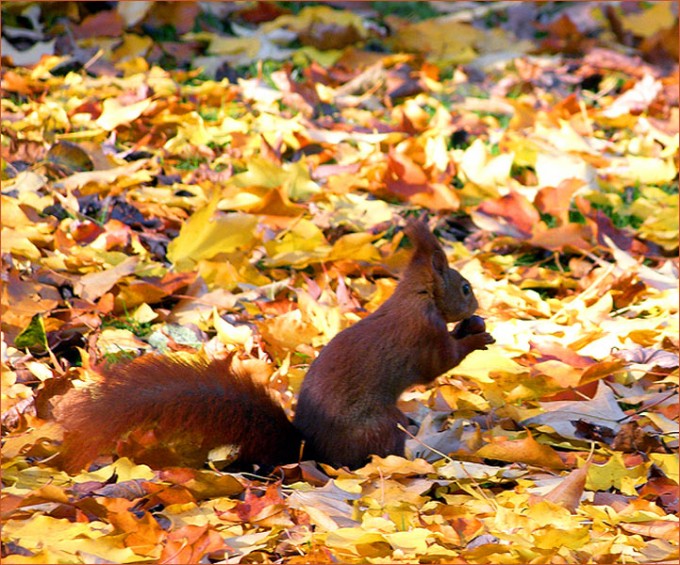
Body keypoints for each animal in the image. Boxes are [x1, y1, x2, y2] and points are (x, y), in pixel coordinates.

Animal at [55, 221, 494, 472]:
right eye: (465, 287)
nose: (476, 305)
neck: (415, 296)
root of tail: (313, 453)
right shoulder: (424, 335)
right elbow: (440, 363)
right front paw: (477, 336)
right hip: (380, 425)